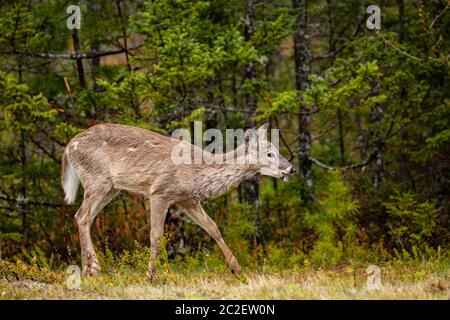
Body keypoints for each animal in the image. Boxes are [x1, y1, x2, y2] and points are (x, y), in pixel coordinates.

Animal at [62, 122, 296, 278]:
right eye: (269, 153)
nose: (291, 169)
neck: (197, 170)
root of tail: (68, 147)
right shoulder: (159, 191)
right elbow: (156, 235)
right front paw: (150, 275)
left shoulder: (187, 199)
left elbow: (213, 228)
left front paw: (237, 270)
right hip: (97, 180)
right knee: (82, 215)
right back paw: (91, 269)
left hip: (111, 188)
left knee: (83, 217)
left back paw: (90, 269)